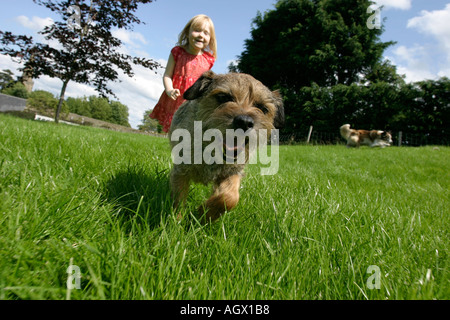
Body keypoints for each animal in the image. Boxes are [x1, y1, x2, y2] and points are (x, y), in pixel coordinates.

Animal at [169, 72, 284, 222]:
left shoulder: (232, 172)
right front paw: (176, 221)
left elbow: (229, 198)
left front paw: (205, 213)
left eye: (262, 108)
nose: (244, 122)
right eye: (223, 97)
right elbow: (178, 199)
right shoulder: (180, 171)